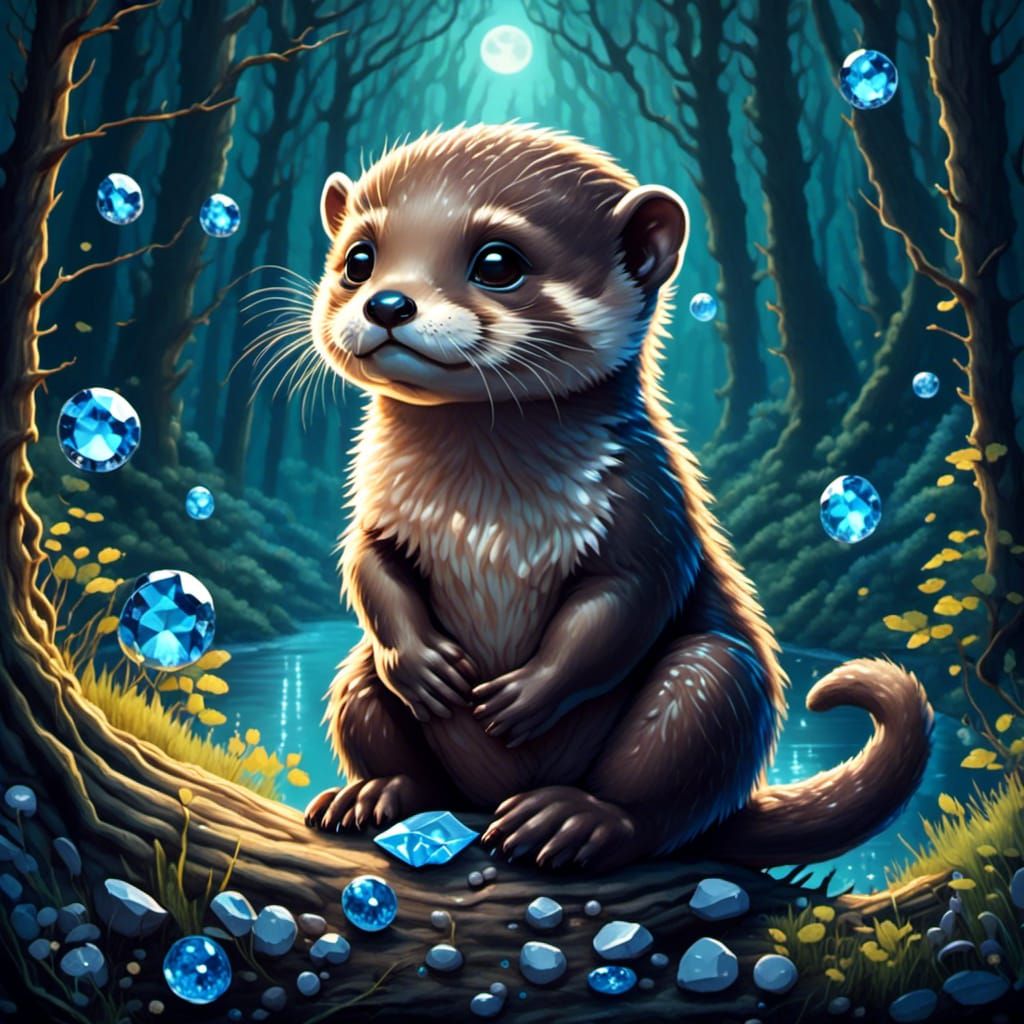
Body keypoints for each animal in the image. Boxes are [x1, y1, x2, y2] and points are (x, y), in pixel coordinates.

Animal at [302, 124, 933, 872]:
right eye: (358, 259)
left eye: (497, 261)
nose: (389, 304)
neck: (480, 511)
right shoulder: (377, 510)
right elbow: (370, 573)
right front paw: (423, 666)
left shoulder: (650, 506)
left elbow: (622, 606)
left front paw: (527, 694)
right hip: (356, 679)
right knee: (389, 730)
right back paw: (373, 795)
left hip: (709, 687)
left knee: (656, 807)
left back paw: (570, 819)